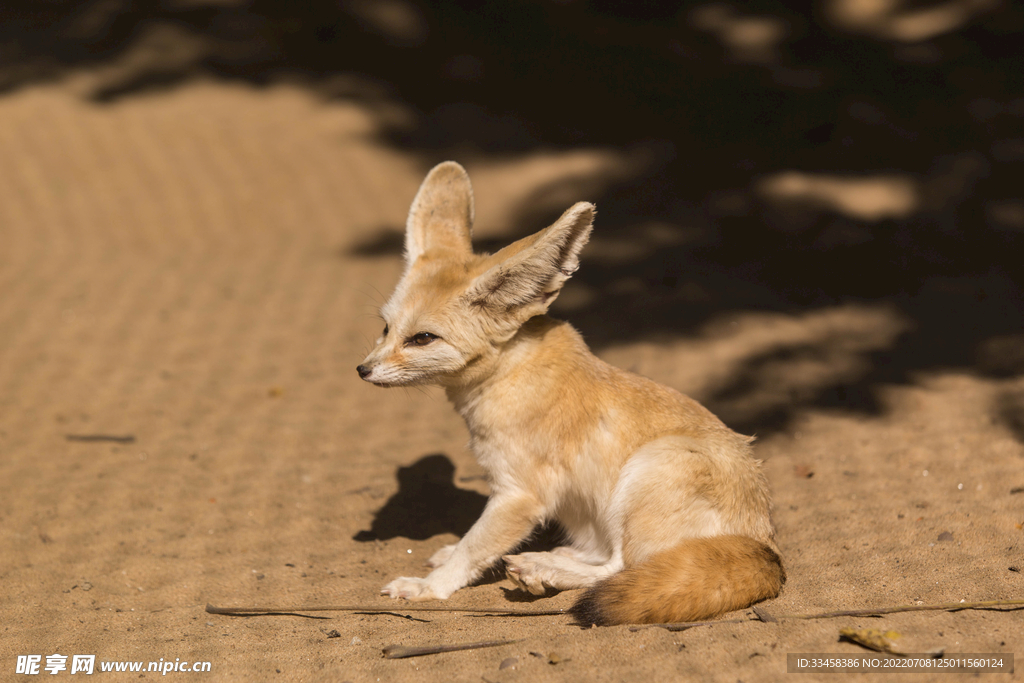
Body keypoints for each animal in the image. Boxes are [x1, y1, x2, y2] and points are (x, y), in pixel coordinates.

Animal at [360, 160, 782, 626]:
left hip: (649, 470)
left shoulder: (520, 495)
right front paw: (452, 552)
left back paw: (545, 570)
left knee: (621, 566)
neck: (509, 372)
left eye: (422, 339)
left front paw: (428, 588)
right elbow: (471, 544)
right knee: (605, 558)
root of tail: (767, 548)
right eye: (386, 328)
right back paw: (546, 562)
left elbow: (474, 548)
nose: (363, 369)